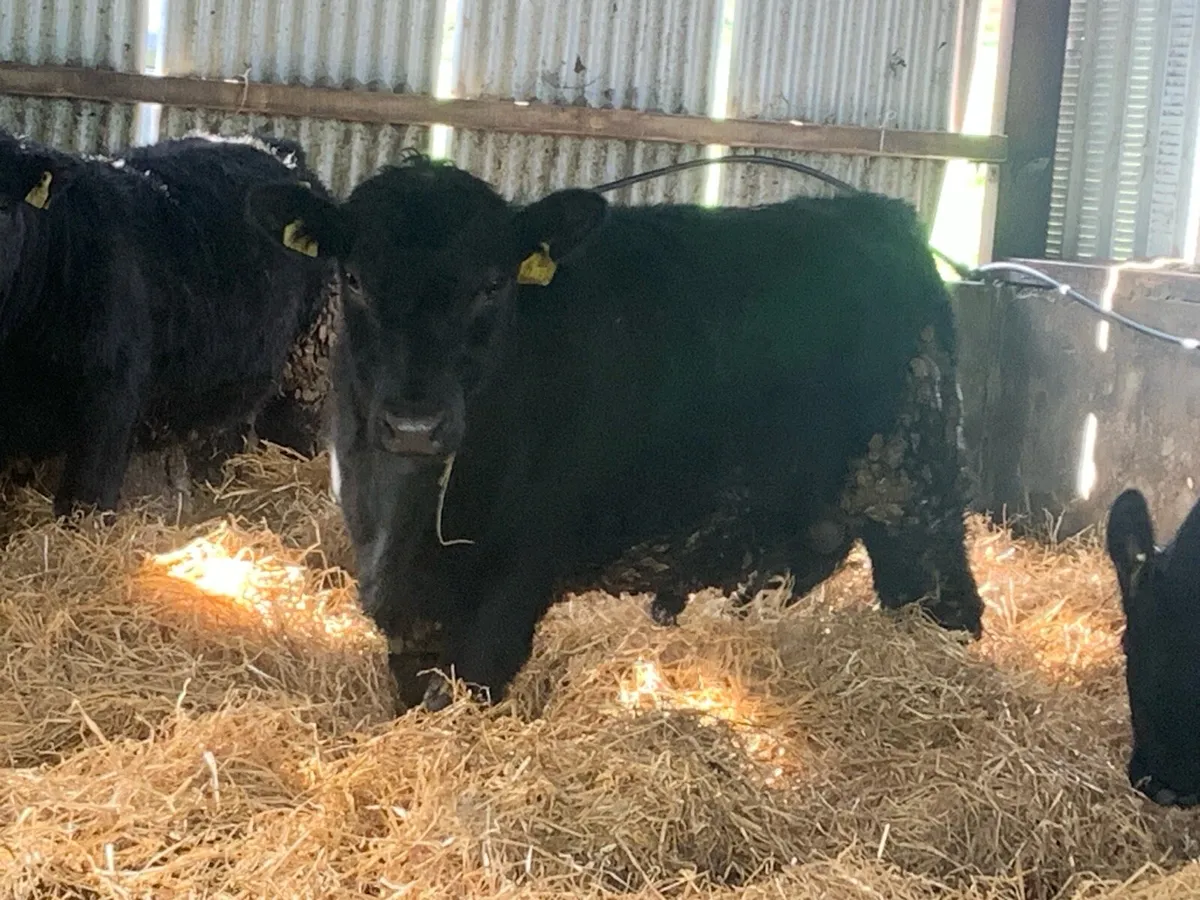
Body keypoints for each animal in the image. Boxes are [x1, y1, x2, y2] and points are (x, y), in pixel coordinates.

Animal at [246, 153, 985, 711]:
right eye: (353, 278)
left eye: (492, 285)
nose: (414, 422)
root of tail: (879, 215)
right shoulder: (398, 597)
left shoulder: (514, 580)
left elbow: (469, 686)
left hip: (915, 493)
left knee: (946, 602)